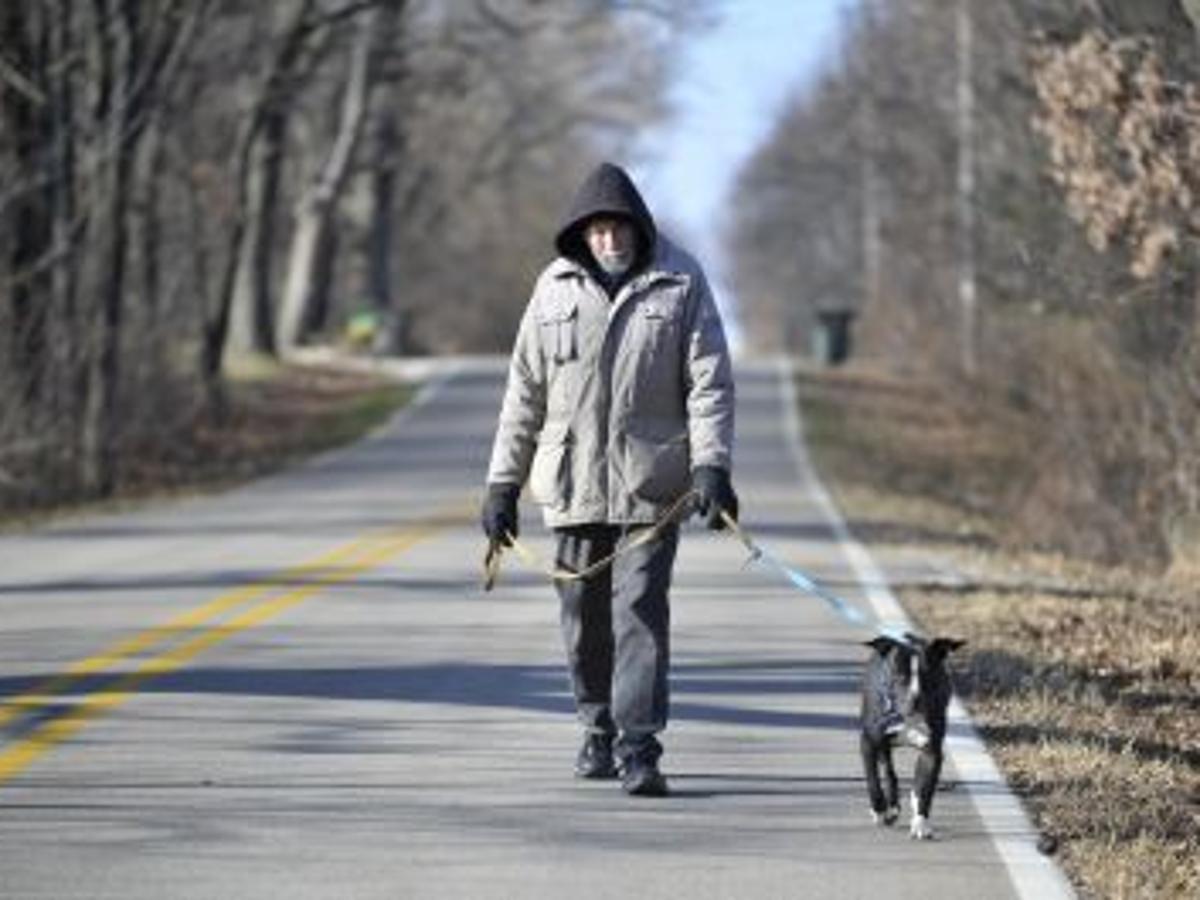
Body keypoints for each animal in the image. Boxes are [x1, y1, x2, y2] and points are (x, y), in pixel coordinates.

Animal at [859, 632, 966, 840]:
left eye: (930, 676)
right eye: (900, 676)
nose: (916, 698)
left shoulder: (932, 751)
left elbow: (924, 788)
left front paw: (920, 823)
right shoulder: (868, 741)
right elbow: (872, 778)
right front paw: (879, 809)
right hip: (882, 745)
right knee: (888, 771)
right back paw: (890, 808)